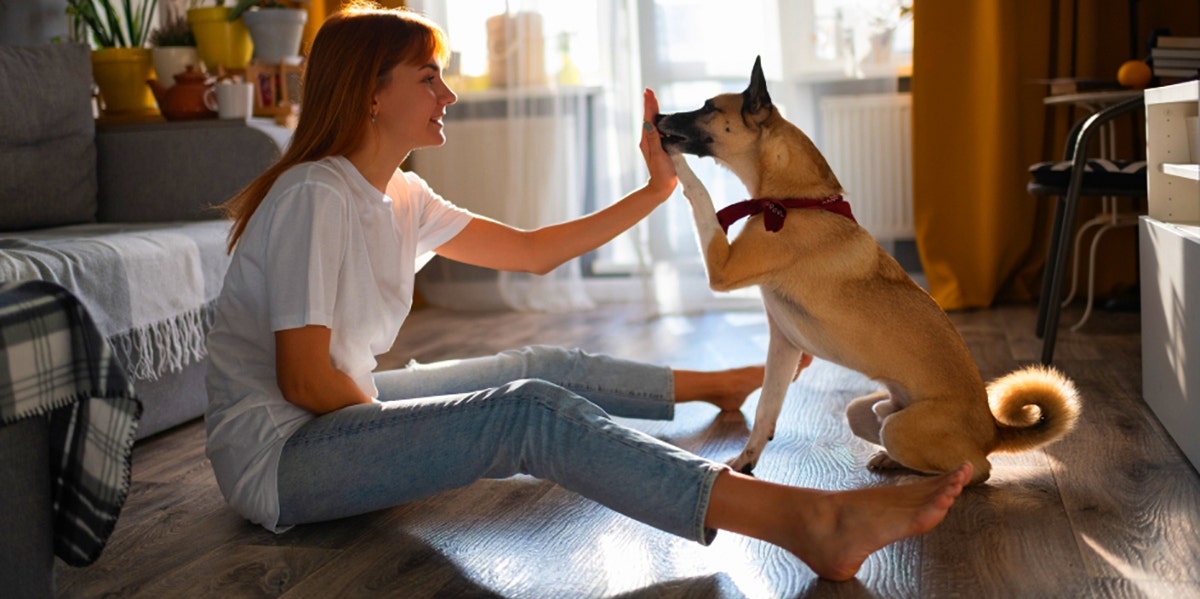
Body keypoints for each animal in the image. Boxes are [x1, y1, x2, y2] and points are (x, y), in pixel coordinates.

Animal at [657, 58, 1080, 484]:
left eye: (708, 107)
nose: (658, 117)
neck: (795, 199)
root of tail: (992, 429)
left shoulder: (722, 268)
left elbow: (699, 194)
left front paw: (670, 161)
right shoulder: (784, 344)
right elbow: (765, 410)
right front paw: (746, 463)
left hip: (902, 429)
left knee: (977, 469)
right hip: (864, 410)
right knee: (882, 423)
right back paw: (890, 460)